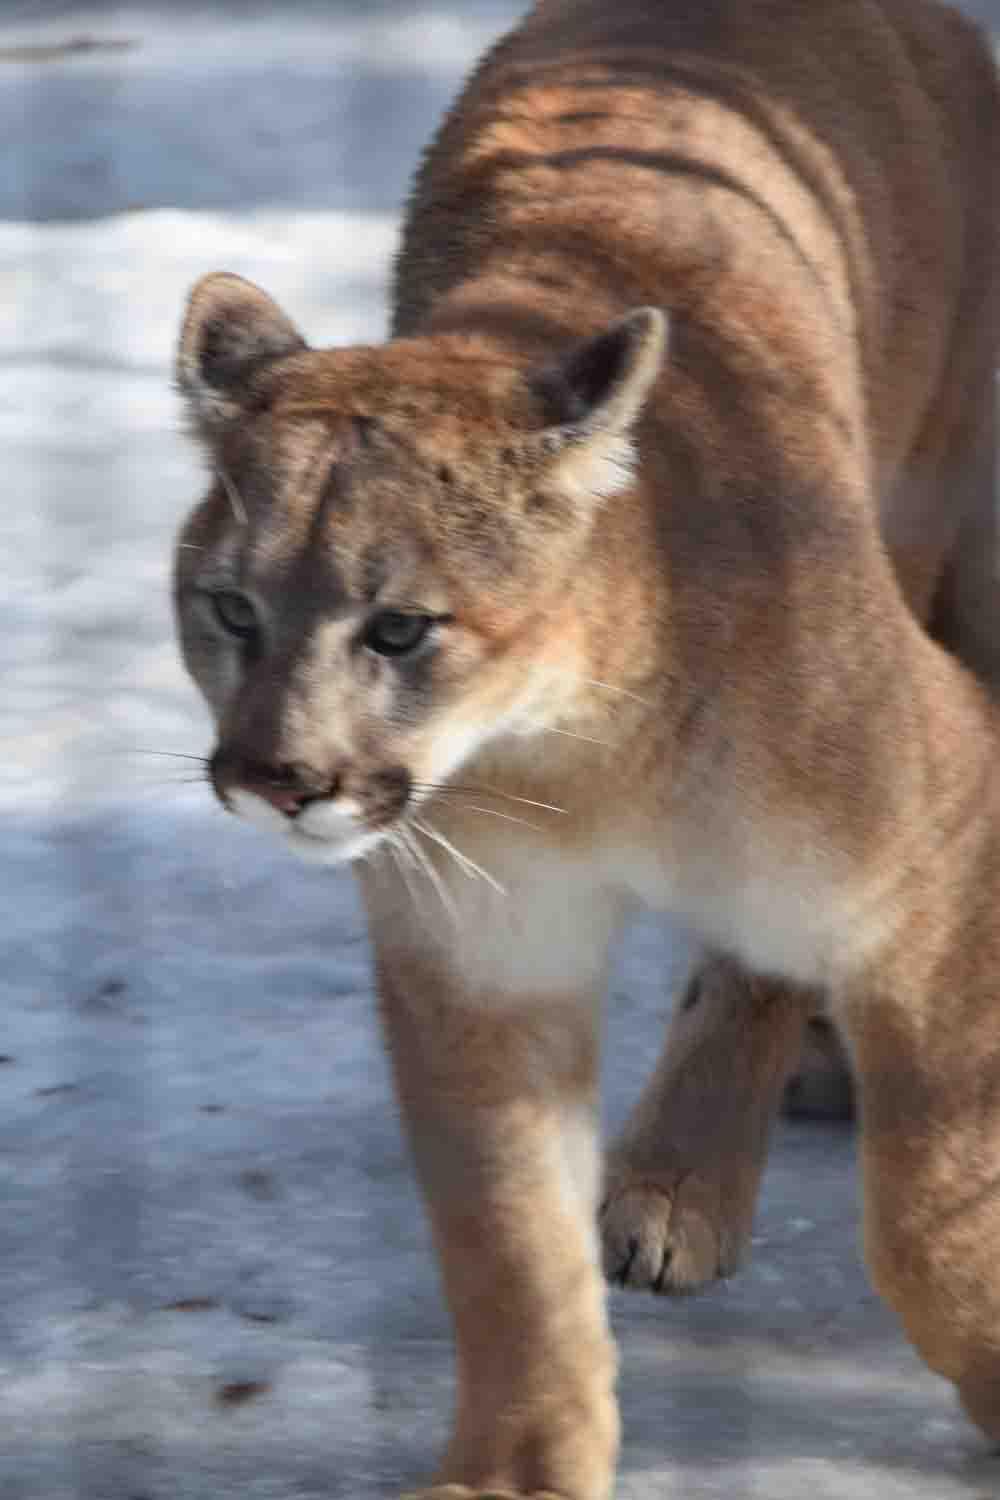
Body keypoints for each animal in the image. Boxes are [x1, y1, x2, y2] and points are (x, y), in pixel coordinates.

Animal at [173, 1, 1000, 1495]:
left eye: (399, 628)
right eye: (231, 610)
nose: (274, 779)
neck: (571, 752)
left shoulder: (950, 816)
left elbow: (932, 1199)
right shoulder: (480, 954)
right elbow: (508, 1242)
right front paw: (514, 1471)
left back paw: (692, 1171)